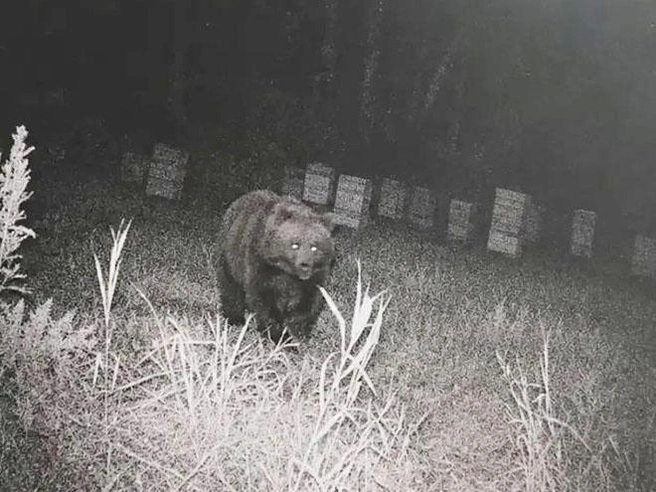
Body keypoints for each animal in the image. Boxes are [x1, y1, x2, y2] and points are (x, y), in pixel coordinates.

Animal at [216, 189, 335, 344]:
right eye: (295, 244)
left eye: (314, 247)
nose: (304, 265)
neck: (287, 272)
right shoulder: (260, 264)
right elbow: (265, 301)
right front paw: (278, 335)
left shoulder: (316, 274)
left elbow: (308, 302)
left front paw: (298, 332)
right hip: (231, 254)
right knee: (230, 284)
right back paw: (234, 318)